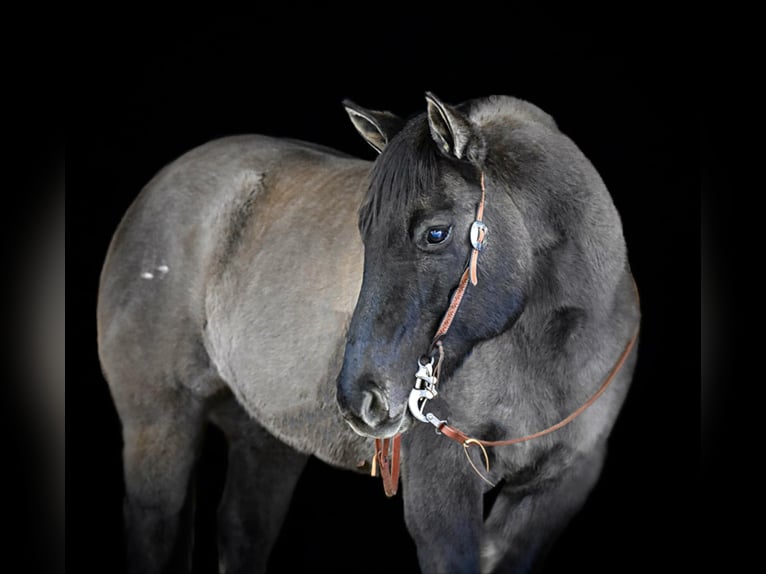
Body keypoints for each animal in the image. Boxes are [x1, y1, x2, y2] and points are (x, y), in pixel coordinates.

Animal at [97, 92, 640, 572]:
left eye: (436, 233)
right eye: (364, 231)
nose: (362, 397)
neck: (547, 348)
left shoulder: (554, 491)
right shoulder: (442, 492)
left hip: (265, 438)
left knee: (241, 530)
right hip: (158, 424)